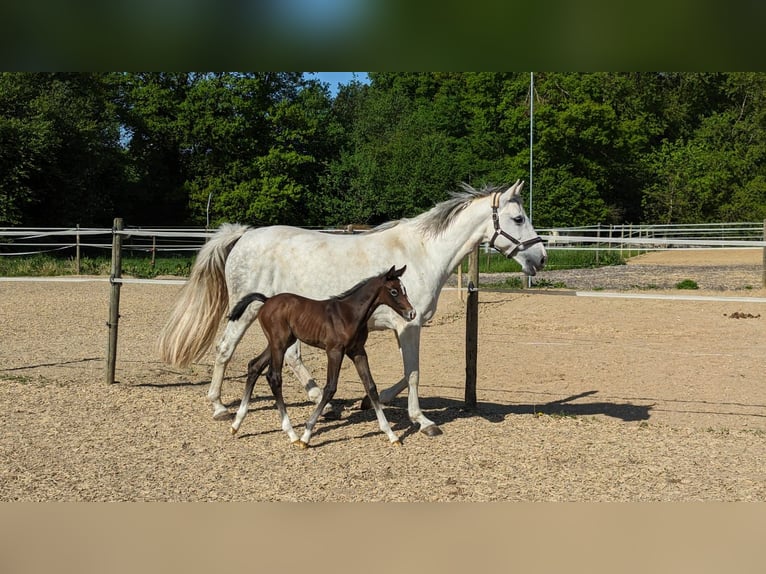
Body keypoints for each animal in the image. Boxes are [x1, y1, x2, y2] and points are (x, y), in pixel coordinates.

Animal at [228, 266, 416, 450]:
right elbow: (330, 388)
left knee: (254, 366)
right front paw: (306, 436)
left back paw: (236, 424)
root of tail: (267, 300)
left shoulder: (358, 351)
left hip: (280, 342)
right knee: (274, 377)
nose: (412, 313)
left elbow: (371, 386)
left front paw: (392, 435)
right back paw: (292, 434)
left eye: (404, 289)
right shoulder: (334, 351)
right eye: (393, 291)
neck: (350, 314)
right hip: (279, 344)